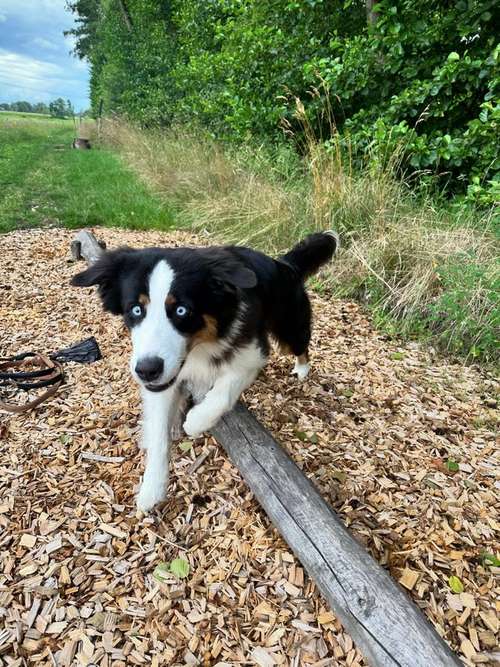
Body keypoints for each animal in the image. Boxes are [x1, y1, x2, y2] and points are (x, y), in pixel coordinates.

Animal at [72, 231, 338, 512]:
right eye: (136, 309)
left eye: (181, 310)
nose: (147, 371)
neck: (200, 345)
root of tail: (284, 264)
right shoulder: (162, 379)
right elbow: (158, 431)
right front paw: (152, 489)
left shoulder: (252, 351)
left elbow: (225, 388)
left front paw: (197, 420)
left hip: (289, 325)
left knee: (301, 345)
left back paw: (302, 371)